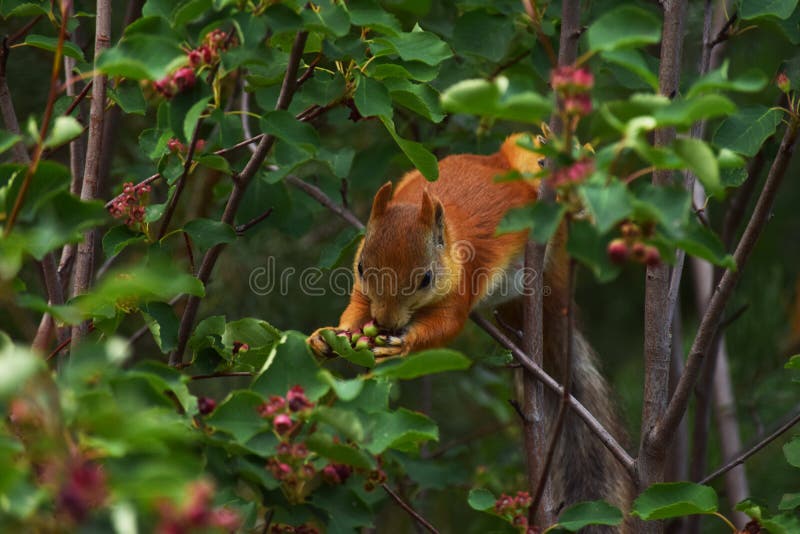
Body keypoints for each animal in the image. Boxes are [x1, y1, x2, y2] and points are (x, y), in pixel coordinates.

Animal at [308, 134, 634, 528]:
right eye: (360, 267)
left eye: (425, 278)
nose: (385, 323)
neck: (450, 235)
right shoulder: (361, 289)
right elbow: (355, 310)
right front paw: (327, 336)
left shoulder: (464, 285)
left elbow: (447, 325)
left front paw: (401, 345)